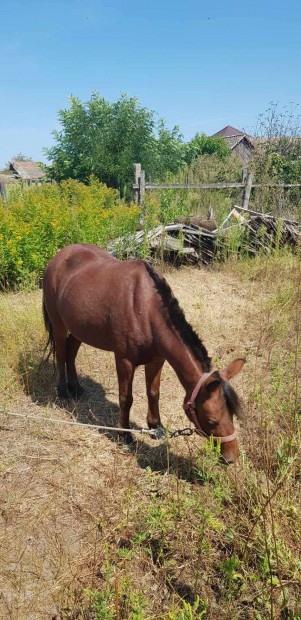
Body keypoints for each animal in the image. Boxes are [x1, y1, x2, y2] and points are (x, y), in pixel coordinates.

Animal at [42, 245, 244, 462]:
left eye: (232, 414)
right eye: (212, 420)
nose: (231, 457)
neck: (145, 308)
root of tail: (60, 256)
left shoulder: (157, 360)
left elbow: (153, 393)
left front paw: (156, 427)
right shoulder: (124, 361)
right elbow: (126, 398)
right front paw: (124, 434)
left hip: (79, 328)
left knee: (71, 352)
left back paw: (76, 387)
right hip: (59, 324)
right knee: (61, 354)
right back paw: (63, 391)